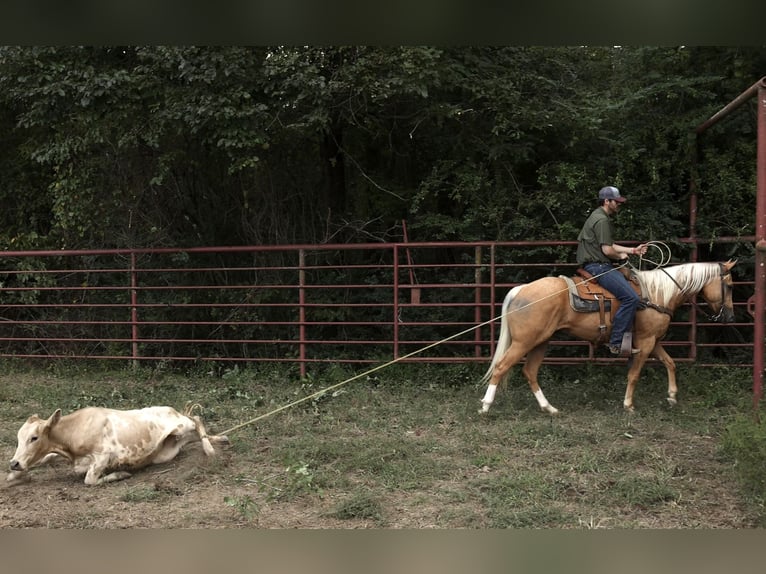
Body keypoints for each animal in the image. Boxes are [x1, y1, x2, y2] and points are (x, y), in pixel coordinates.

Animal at [479, 260, 736, 414]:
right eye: (731, 285)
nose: (730, 316)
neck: (658, 294)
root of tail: (520, 290)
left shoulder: (654, 341)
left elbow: (670, 363)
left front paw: (672, 396)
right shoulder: (645, 343)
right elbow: (634, 374)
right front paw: (628, 405)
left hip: (541, 341)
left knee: (529, 371)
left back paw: (549, 407)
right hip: (524, 342)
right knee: (501, 367)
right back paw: (486, 406)